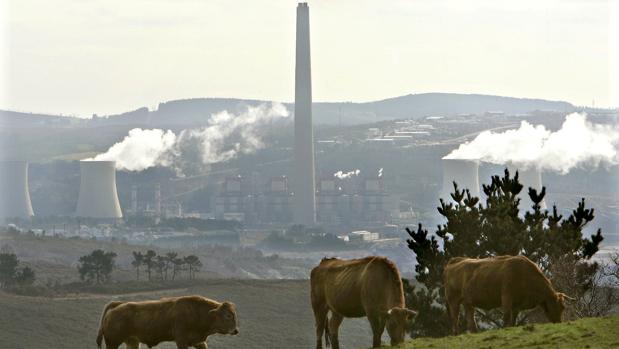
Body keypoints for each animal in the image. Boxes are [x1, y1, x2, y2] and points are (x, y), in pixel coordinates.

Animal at [95, 294, 239, 348]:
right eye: (227, 315)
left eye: (234, 315)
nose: (235, 330)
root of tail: (116, 305)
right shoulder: (181, 341)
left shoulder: (199, 342)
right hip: (113, 343)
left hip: (132, 342)